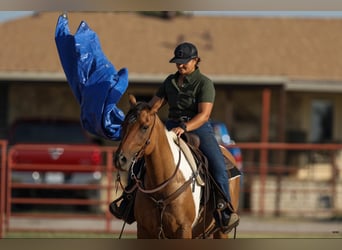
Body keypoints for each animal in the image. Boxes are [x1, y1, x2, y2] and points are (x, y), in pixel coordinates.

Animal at [114, 94, 240, 239]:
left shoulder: (183, 230)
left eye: (144, 127)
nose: (120, 159)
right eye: (123, 124)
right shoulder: (144, 230)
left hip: (220, 231)